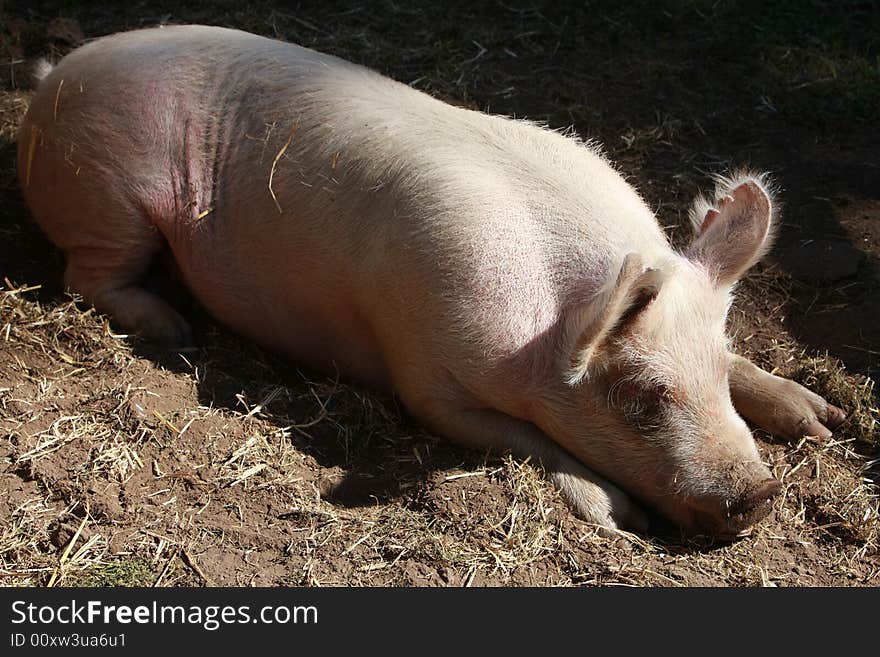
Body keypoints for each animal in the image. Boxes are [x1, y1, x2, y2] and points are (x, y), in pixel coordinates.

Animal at [18, 25, 844, 540]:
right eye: (643, 395)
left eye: (712, 379)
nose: (760, 493)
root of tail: (54, 77)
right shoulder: (428, 381)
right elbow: (526, 442)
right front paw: (624, 518)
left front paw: (823, 420)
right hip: (110, 197)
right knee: (88, 275)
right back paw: (173, 327)